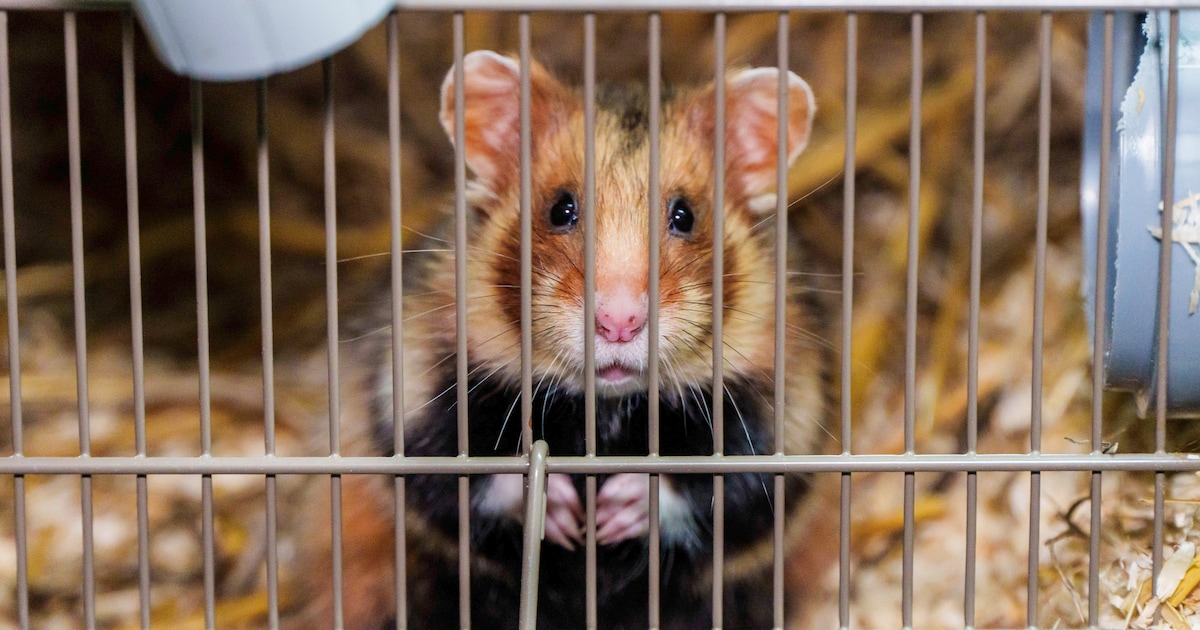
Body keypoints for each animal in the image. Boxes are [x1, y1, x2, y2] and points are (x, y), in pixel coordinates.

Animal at [289, 50, 827, 630]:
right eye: (560, 209)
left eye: (685, 215)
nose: (618, 322)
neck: (604, 406)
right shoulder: (415, 391)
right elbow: (460, 476)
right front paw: (565, 513)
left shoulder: (778, 418)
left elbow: (721, 487)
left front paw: (615, 509)